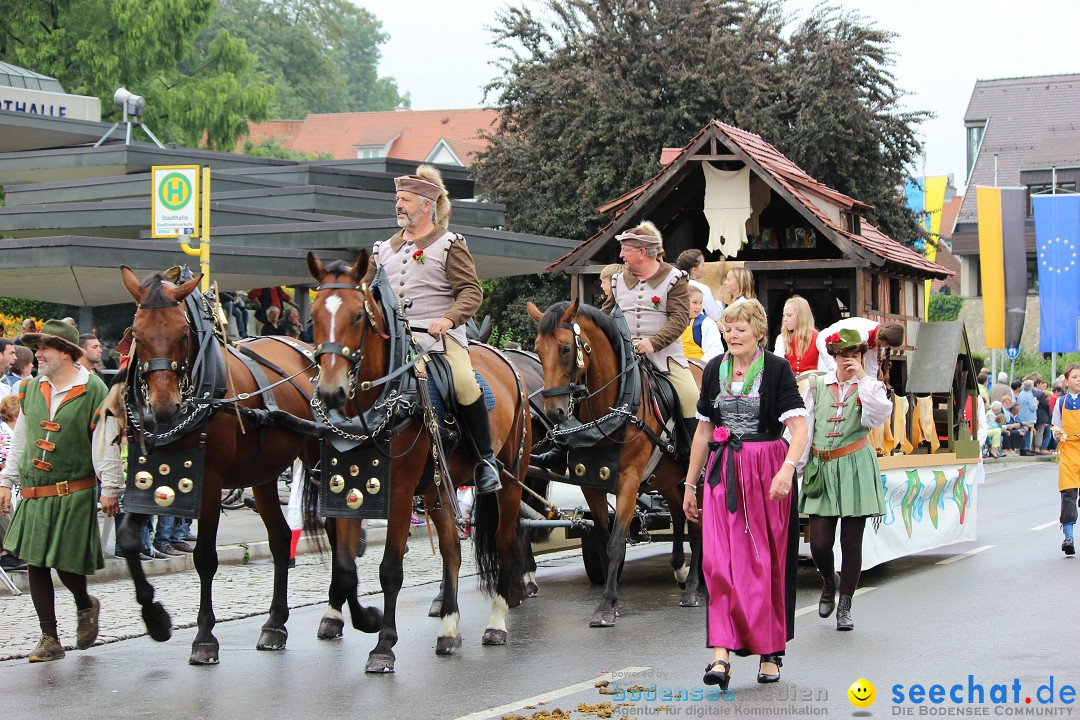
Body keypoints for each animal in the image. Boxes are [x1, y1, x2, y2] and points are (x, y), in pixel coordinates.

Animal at [115, 267, 380, 669]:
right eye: (137, 333)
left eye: (181, 334)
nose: (164, 408)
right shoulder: (147, 480)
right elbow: (130, 539)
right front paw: (156, 619)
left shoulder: (209, 484)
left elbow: (205, 557)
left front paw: (204, 638)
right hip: (264, 474)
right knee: (282, 538)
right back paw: (275, 624)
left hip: (321, 461)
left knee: (337, 532)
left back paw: (335, 612)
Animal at [306, 250, 529, 673]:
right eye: (312, 315)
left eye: (357, 316)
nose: (330, 391)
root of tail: (505, 359)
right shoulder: (346, 492)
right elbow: (345, 567)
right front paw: (364, 618)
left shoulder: (398, 493)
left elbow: (390, 569)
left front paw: (382, 645)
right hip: (437, 490)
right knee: (452, 552)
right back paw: (448, 629)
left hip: (509, 481)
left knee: (506, 542)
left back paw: (497, 621)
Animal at [527, 297, 704, 626]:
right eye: (537, 348)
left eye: (566, 349)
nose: (555, 412)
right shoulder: (591, 483)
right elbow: (605, 537)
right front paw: (610, 592)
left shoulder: (628, 481)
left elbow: (616, 541)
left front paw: (607, 605)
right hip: (668, 478)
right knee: (678, 514)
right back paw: (679, 569)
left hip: (695, 476)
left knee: (698, 524)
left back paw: (693, 588)